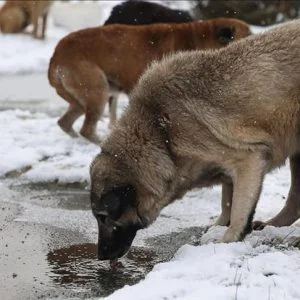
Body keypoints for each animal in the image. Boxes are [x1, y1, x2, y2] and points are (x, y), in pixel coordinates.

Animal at [90, 19, 300, 262]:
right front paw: (219, 225)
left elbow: (239, 207)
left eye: (103, 217)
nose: (100, 256)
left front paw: (228, 238)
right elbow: (227, 199)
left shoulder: (249, 159)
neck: (160, 131)